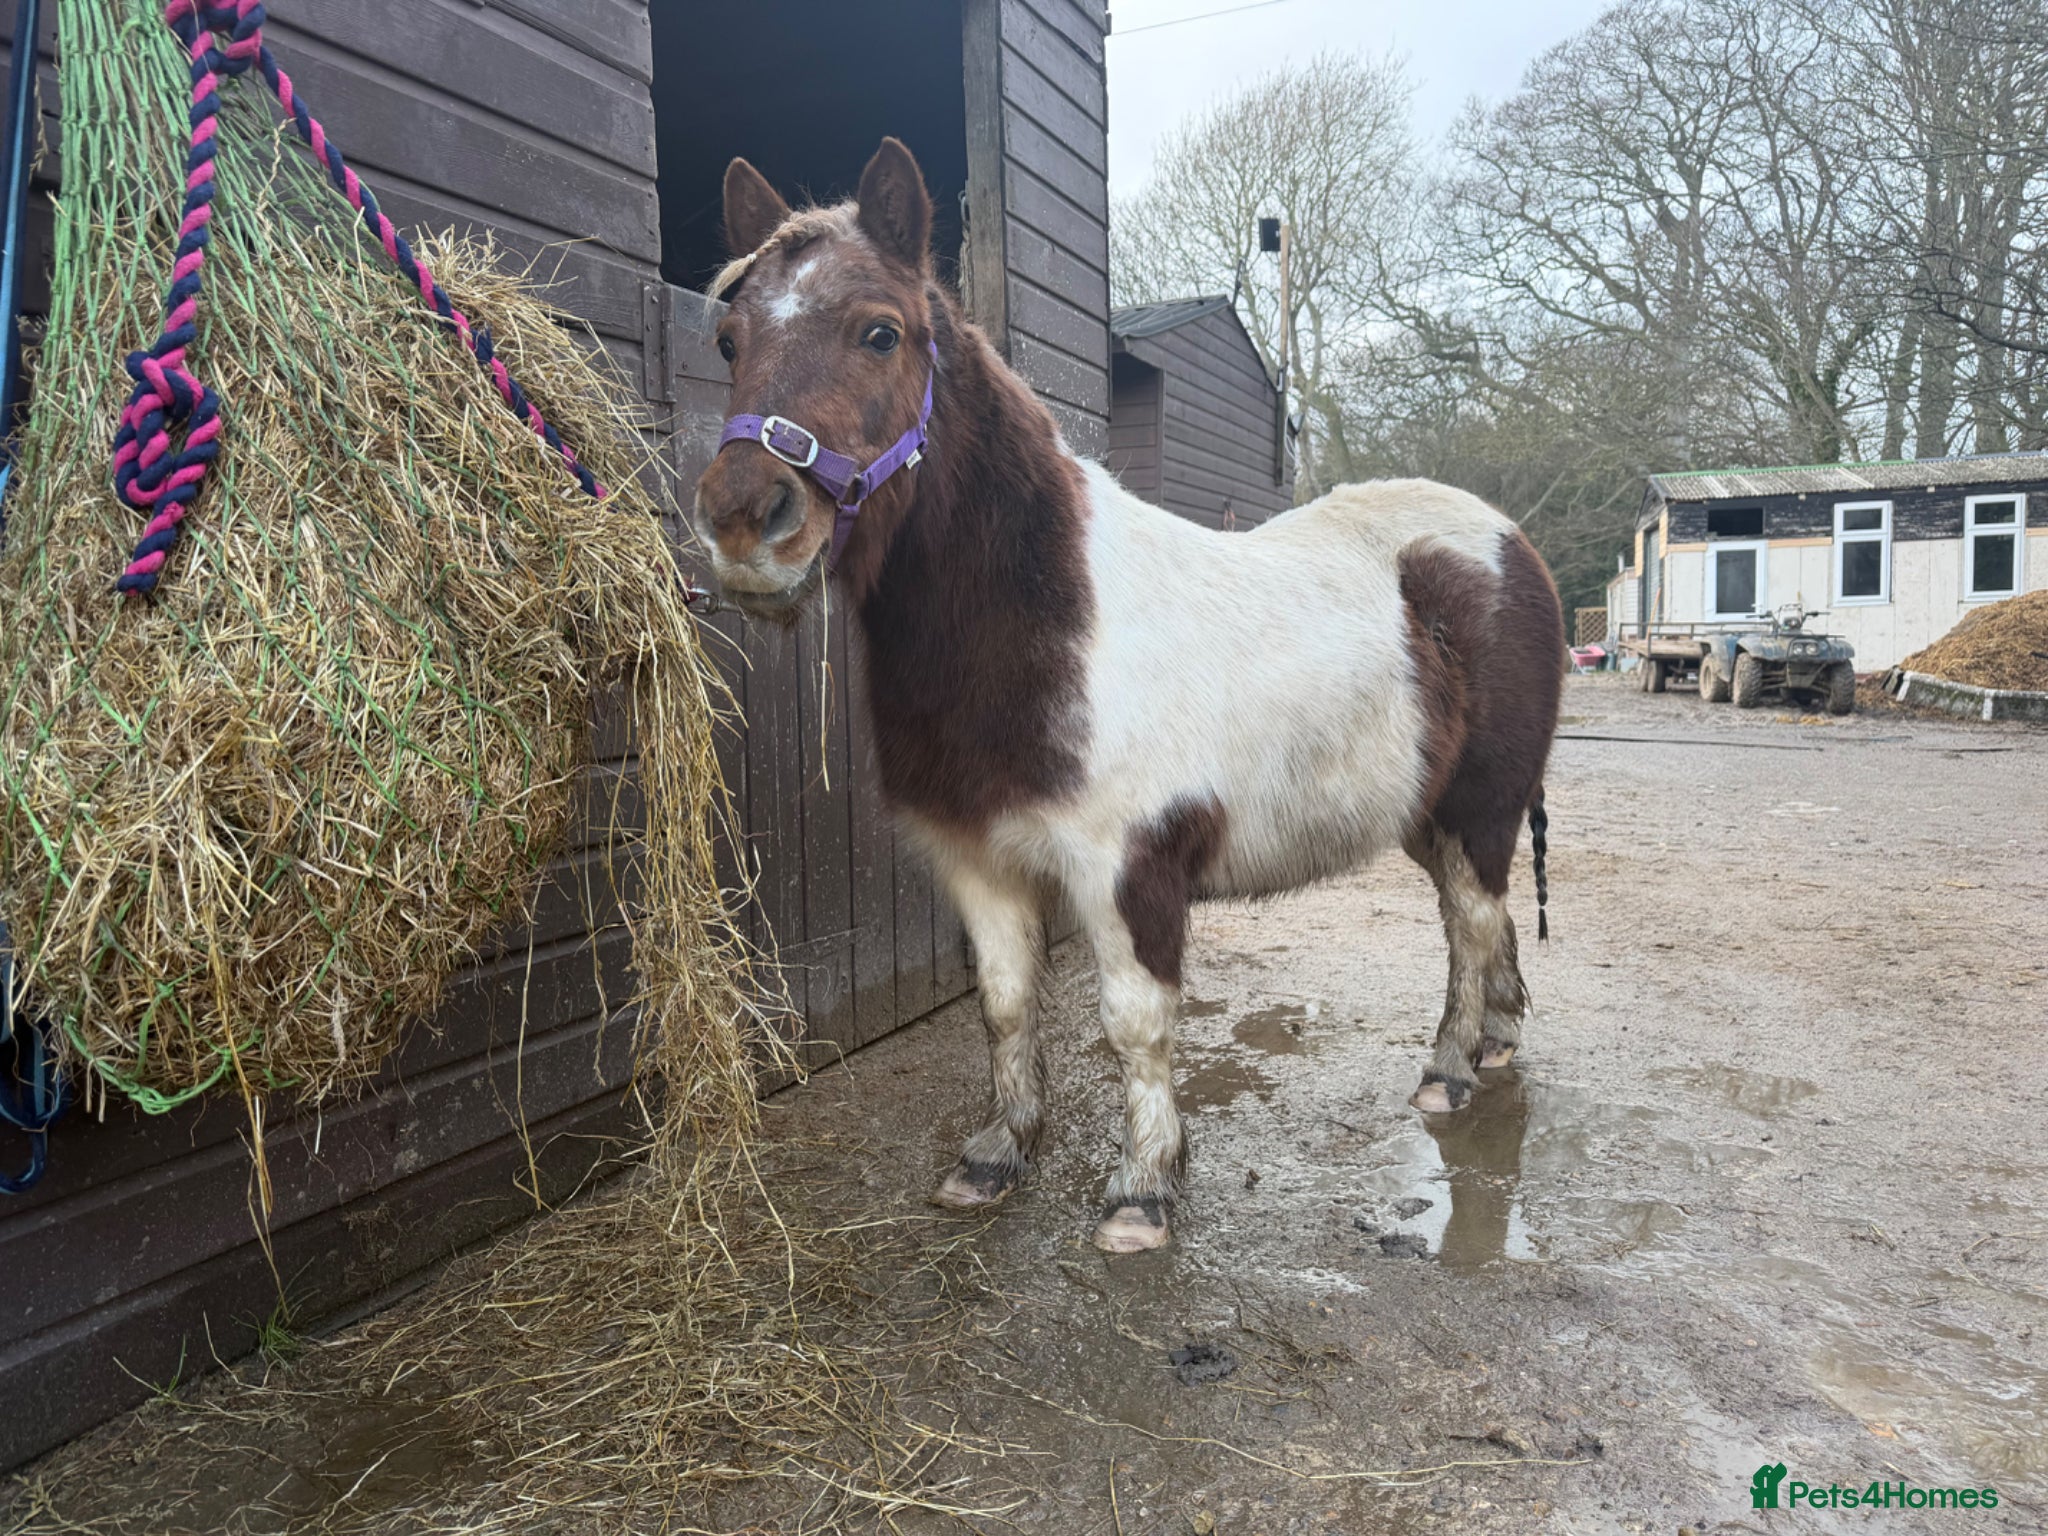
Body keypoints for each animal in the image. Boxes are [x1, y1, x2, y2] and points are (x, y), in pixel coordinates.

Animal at [692, 139, 1566, 1254]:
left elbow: (1133, 1024)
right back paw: (1494, 1045)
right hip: (1429, 813)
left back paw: (1449, 1073)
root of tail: (1506, 543)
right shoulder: (977, 862)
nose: (744, 526)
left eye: (880, 332)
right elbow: (1005, 1005)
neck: (1046, 622)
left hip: (1481, 804)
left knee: (1471, 924)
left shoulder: (1125, 868)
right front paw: (995, 1157)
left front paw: (1143, 1193)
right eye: (729, 338)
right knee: (1479, 924)